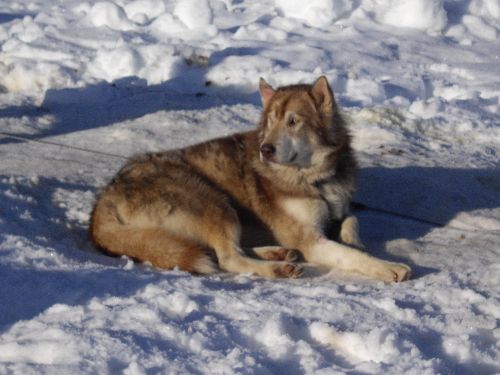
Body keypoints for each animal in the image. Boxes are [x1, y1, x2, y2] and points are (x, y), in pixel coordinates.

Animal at [92, 76, 412, 282]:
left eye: (293, 121)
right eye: (270, 122)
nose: (265, 149)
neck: (314, 178)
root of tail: (102, 202)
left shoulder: (337, 209)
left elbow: (351, 220)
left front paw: (354, 240)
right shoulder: (311, 239)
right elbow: (349, 255)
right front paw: (388, 267)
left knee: (221, 249)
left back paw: (277, 253)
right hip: (213, 202)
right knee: (226, 257)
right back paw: (276, 268)